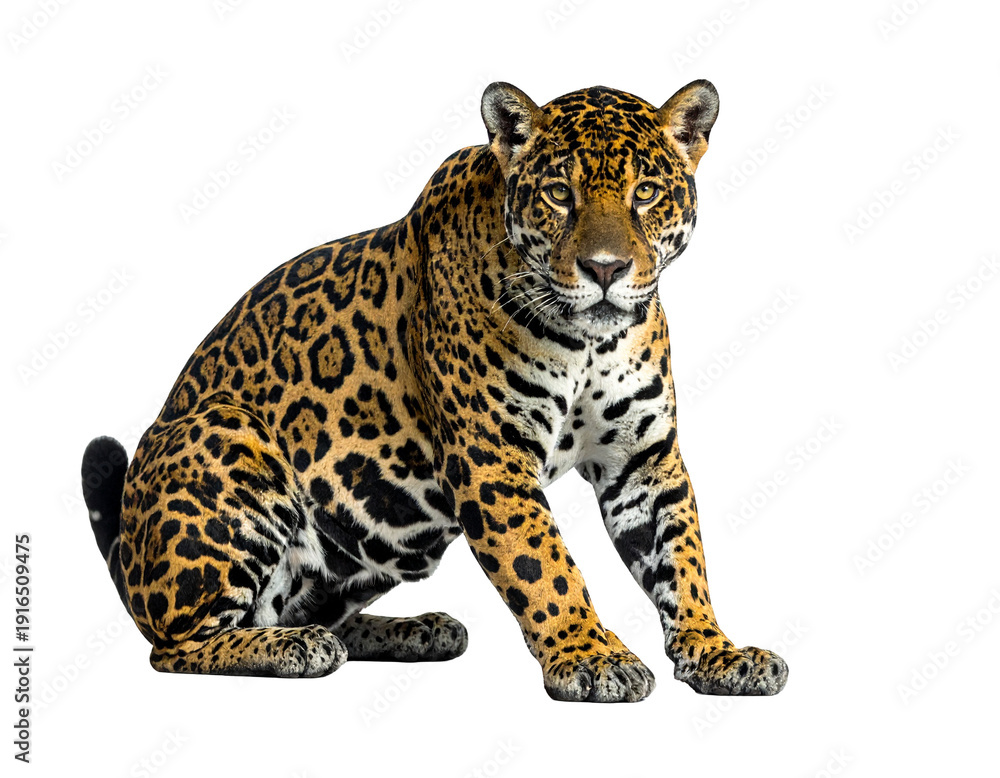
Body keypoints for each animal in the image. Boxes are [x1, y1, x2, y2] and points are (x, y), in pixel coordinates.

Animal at [81, 79, 789, 701]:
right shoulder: (491, 458)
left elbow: (682, 558)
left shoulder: (644, 459)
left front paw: (717, 651)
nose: (606, 269)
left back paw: (418, 629)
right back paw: (296, 649)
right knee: (177, 645)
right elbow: (546, 566)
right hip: (228, 433)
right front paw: (592, 657)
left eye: (645, 193)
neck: (591, 342)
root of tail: (132, 568)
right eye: (560, 194)